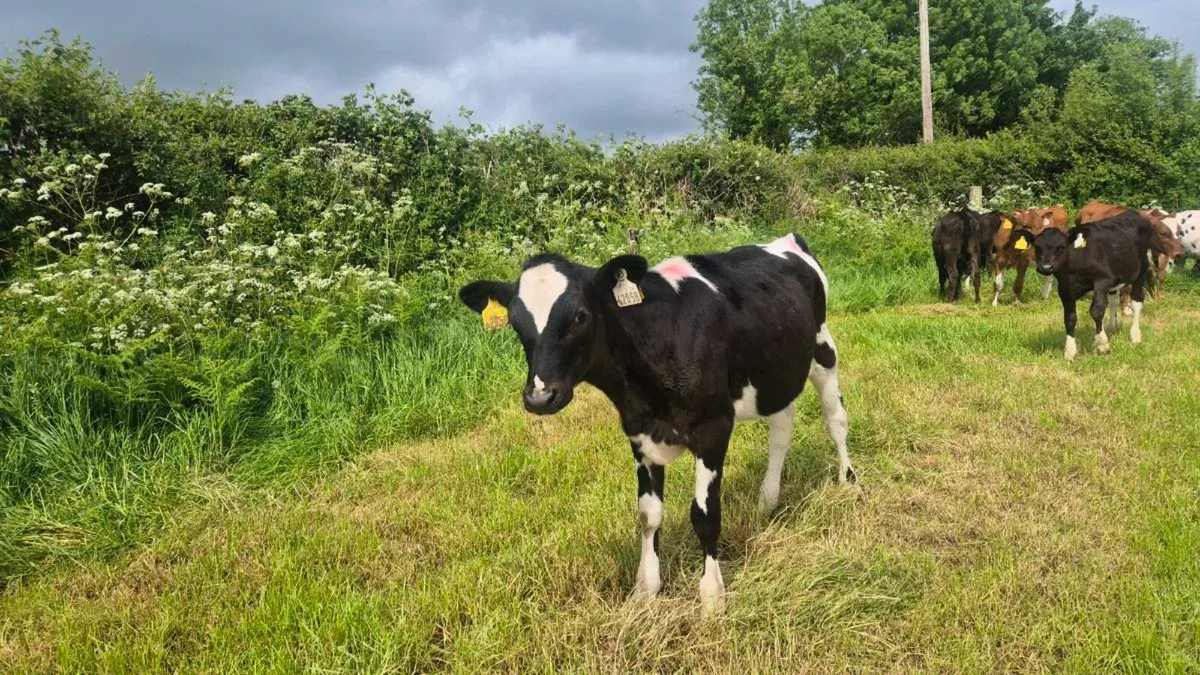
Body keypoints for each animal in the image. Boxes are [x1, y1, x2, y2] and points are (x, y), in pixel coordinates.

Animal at [458, 233, 856, 613]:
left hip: (823, 348)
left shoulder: (713, 427)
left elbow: (705, 514)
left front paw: (712, 596)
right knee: (781, 426)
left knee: (835, 418)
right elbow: (649, 515)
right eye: (515, 322)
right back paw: (767, 500)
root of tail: (785, 240)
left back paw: (848, 482)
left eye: (579, 316)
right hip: (775, 370)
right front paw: (645, 589)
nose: (540, 396)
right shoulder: (638, 433)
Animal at [1009, 211, 1152, 360]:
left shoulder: (1102, 279)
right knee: (1114, 301)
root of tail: (1132, 212)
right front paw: (1070, 350)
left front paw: (1102, 345)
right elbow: (1069, 318)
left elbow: (1097, 310)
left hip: (1142, 269)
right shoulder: (1065, 288)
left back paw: (1135, 336)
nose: (1046, 267)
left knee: (1137, 301)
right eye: (1037, 247)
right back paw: (1112, 326)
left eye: (1061, 247)